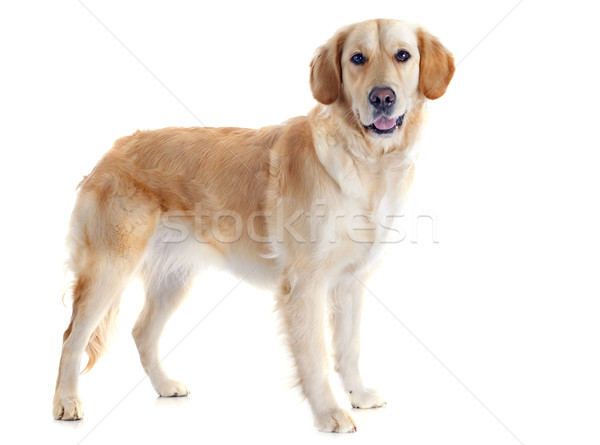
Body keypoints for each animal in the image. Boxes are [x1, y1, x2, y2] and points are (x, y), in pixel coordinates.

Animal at [54, 19, 452, 432]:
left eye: (403, 55)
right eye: (358, 58)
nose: (382, 97)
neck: (366, 159)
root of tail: (111, 152)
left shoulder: (349, 282)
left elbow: (349, 347)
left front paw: (358, 394)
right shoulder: (305, 284)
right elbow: (316, 356)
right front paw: (329, 412)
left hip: (174, 277)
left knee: (141, 331)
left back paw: (164, 385)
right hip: (109, 268)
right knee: (71, 337)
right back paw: (66, 402)